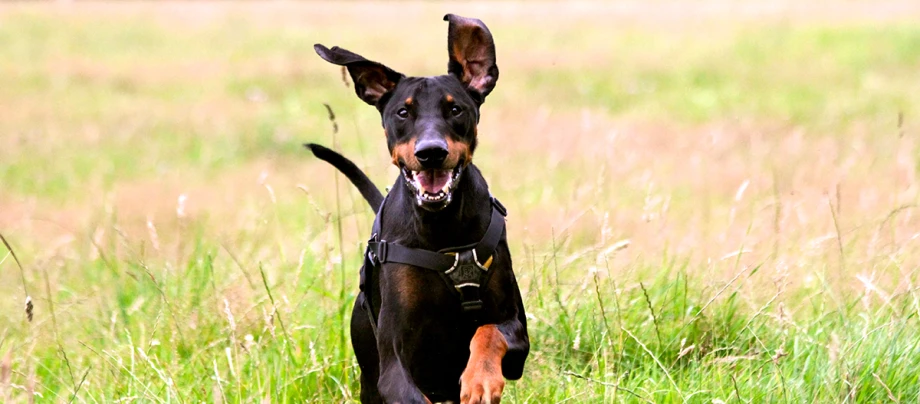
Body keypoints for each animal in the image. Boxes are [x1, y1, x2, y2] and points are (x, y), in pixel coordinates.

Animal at [306, 14, 528, 402]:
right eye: (403, 112)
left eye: (455, 109)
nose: (431, 152)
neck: (442, 229)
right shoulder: (393, 362)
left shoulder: (518, 334)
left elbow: (489, 330)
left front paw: (480, 379)